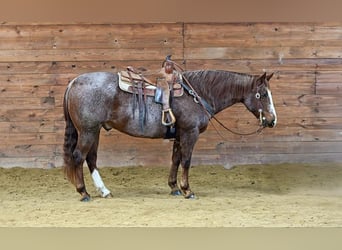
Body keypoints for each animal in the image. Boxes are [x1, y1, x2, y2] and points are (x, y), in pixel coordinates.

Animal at [63, 60, 278, 201]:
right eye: (262, 94)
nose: (272, 120)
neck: (197, 93)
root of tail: (74, 82)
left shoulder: (179, 134)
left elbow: (175, 159)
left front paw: (174, 187)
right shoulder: (190, 133)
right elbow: (186, 160)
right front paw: (187, 190)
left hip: (95, 130)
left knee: (91, 159)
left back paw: (104, 191)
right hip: (88, 131)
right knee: (79, 156)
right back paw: (83, 193)